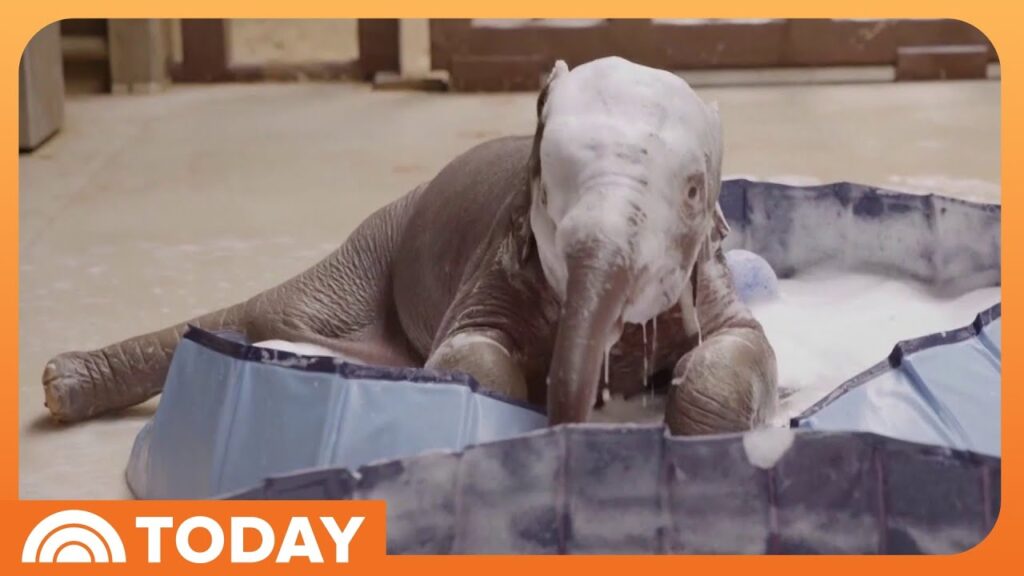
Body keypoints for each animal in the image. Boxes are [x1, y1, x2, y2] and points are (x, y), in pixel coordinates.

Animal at [41, 56, 778, 435]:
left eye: (692, 191)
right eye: (545, 179)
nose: (570, 419)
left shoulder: (711, 277)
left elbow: (742, 346)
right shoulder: (497, 263)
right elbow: (470, 350)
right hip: (378, 243)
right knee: (265, 312)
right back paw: (64, 383)